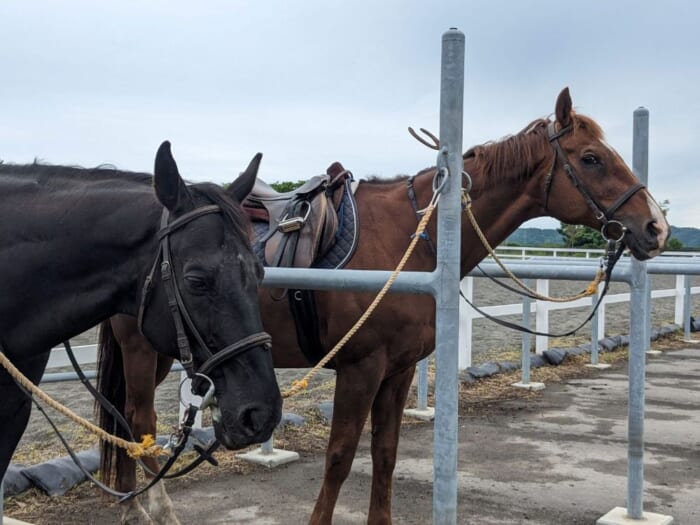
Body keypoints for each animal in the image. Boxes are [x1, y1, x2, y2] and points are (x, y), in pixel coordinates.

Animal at [93, 88, 668, 520]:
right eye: (591, 159)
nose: (655, 227)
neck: (413, 239)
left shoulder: (398, 369)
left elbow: (385, 456)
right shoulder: (361, 367)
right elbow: (340, 458)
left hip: (165, 350)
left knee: (125, 421)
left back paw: (132, 507)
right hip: (144, 351)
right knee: (140, 420)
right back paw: (151, 508)